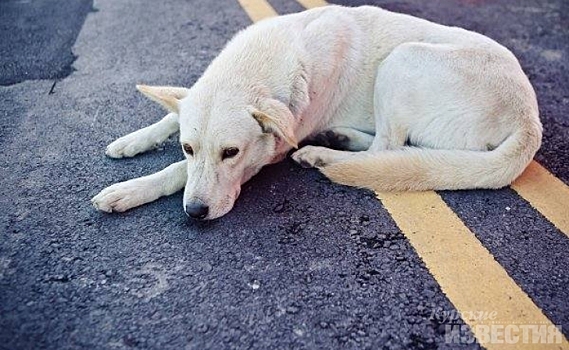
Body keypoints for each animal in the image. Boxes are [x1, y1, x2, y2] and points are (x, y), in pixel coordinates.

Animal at [91, 4, 540, 219]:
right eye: (188, 147)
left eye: (231, 153)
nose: (195, 213)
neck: (259, 64)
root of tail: (529, 119)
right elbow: (174, 114)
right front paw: (132, 141)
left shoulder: (265, 155)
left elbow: (176, 174)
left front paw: (129, 190)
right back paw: (336, 137)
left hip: (403, 59)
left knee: (386, 150)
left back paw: (323, 154)